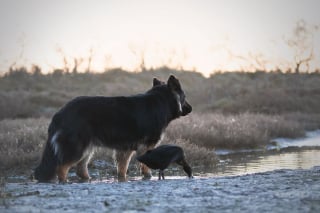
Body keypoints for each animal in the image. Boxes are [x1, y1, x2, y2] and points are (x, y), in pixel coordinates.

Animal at [34, 75, 192, 183]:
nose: (191, 109)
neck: (160, 101)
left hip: (88, 148)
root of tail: (60, 113)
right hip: (77, 148)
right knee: (62, 167)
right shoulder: (146, 146)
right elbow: (144, 166)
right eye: (185, 97)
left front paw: (122, 179)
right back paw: (65, 182)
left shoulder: (125, 149)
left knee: (80, 169)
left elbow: (122, 168)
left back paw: (87, 180)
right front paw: (147, 176)